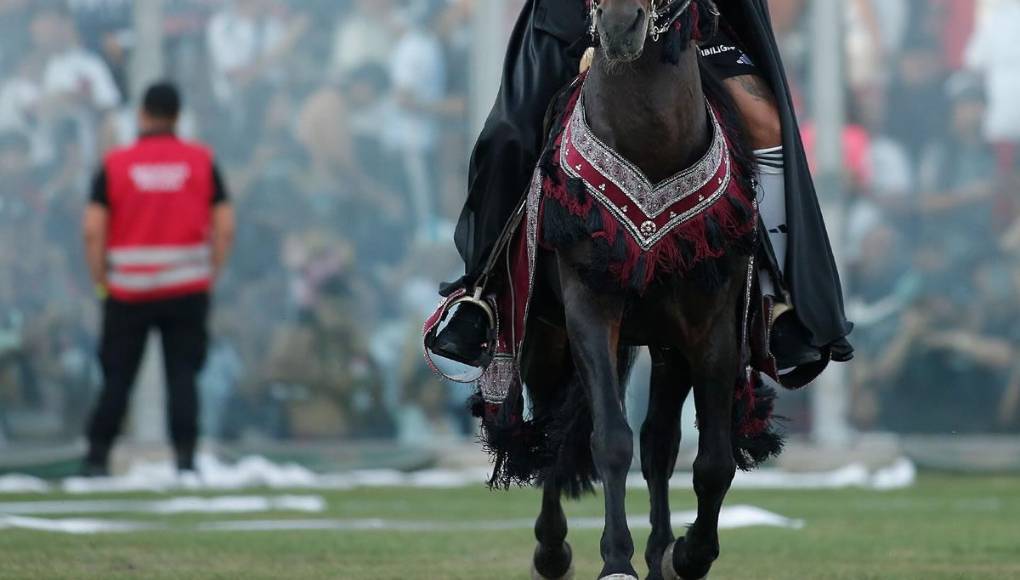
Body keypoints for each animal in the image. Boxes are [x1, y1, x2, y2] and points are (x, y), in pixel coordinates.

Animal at [494, 1, 782, 579]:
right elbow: (609, 438)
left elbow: (713, 461)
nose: (622, 26)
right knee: (555, 429)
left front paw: (688, 555)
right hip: (545, 336)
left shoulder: (711, 326)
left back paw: (661, 549)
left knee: (659, 444)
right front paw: (615, 561)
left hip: (667, 344)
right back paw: (552, 550)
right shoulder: (589, 309)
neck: (651, 142)